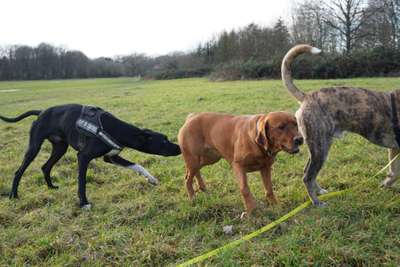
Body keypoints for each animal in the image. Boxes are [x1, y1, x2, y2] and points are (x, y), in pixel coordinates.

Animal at [0, 103, 181, 208]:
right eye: (164, 140)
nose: (180, 147)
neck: (116, 129)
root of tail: (41, 111)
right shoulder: (83, 157)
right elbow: (82, 182)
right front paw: (83, 203)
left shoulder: (111, 157)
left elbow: (137, 165)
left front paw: (151, 179)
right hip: (34, 147)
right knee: (19, 171)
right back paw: (13, 195)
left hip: (60, 148)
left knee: (45, 166)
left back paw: (51, 187)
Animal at [282, 45, 400, 206]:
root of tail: (308, 97)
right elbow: (396, 172)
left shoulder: (394, 149)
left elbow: (394, 172)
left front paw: (386, 183)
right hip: (319, 148)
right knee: (307, 176)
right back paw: (317, 203)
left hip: (322, 146)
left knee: (308, 172)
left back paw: (320, 192)